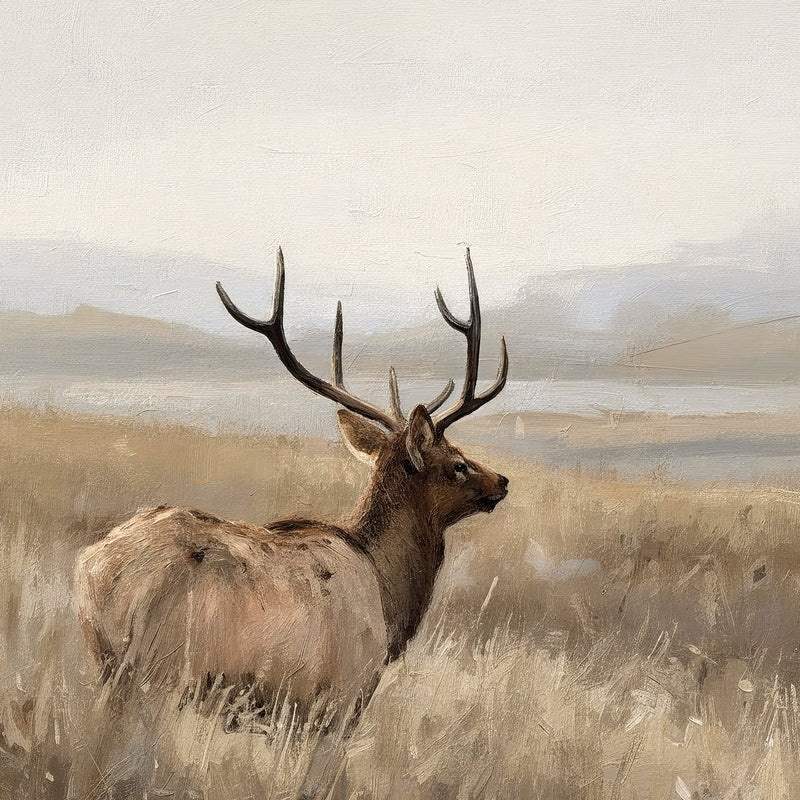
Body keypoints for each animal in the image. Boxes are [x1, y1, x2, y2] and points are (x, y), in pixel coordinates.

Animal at [74, 247, 508, 795]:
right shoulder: (339, 703)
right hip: (157, 673)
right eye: (457, 462)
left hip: (106, 665)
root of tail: (99, 568)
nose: (503, 481)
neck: (390, 599)